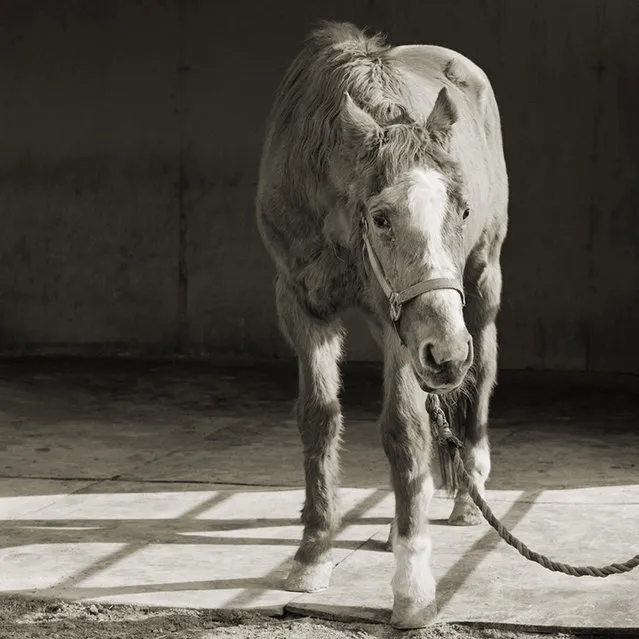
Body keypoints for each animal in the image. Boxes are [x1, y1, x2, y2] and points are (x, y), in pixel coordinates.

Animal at [256, 21, 510, 632]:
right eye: (381, 216)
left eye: (462, 210)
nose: (448, 354)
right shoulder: (301, 304)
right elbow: (319, 418)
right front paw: (313, 553)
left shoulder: (407, 329)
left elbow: (404, 429)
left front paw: (413, 589)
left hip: (478, 287)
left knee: (482, 374)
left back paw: (467, 496)